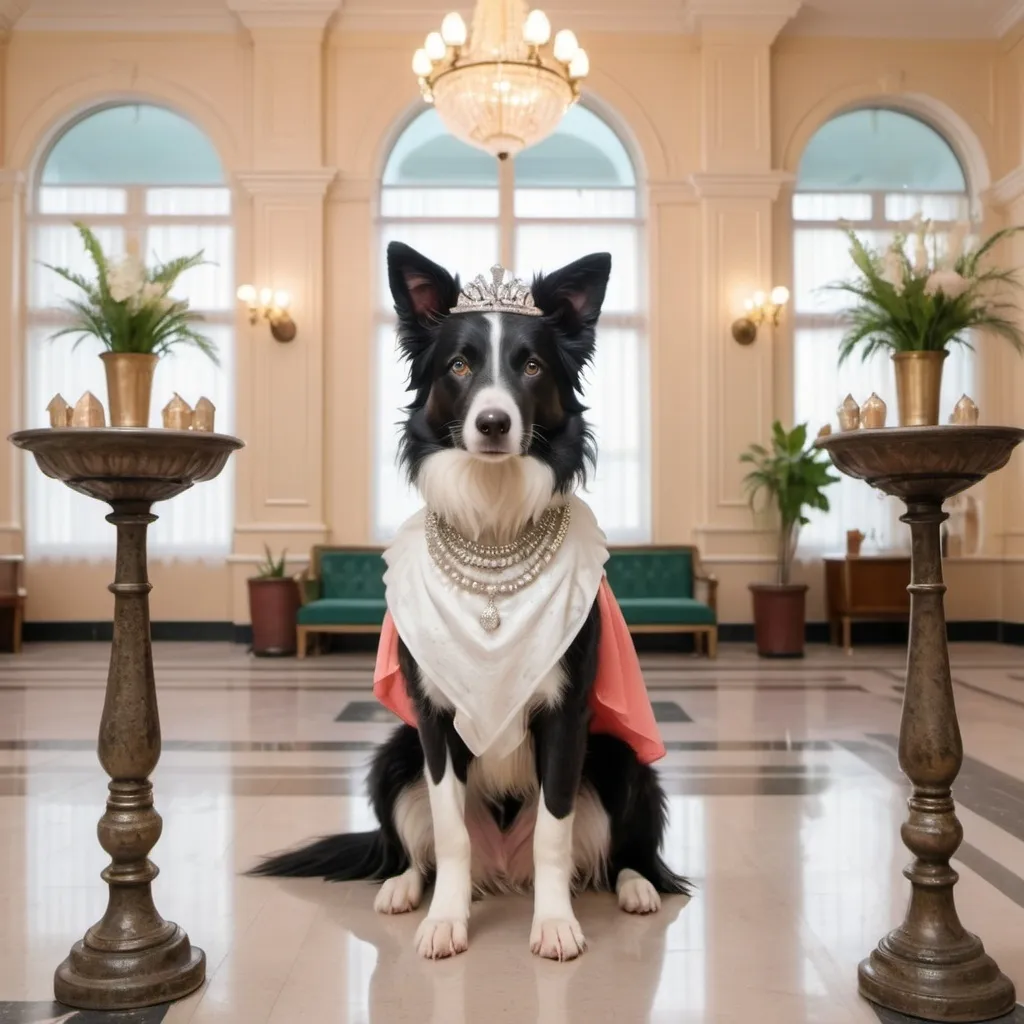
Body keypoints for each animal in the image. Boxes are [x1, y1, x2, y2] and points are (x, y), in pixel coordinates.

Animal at [251, 241, 692, 958]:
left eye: (532, 366)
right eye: (458, 365)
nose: (492, 422)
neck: (494, 520)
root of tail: (503, 867)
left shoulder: (569, 713)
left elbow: (554, 832)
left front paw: (555, 923)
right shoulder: (432, 717)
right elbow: (449, 828)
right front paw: (445, 921)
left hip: (624, 753)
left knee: (626, 853)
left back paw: (634, 887)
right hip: (392, 752)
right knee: (417, 848)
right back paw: (404, 887)